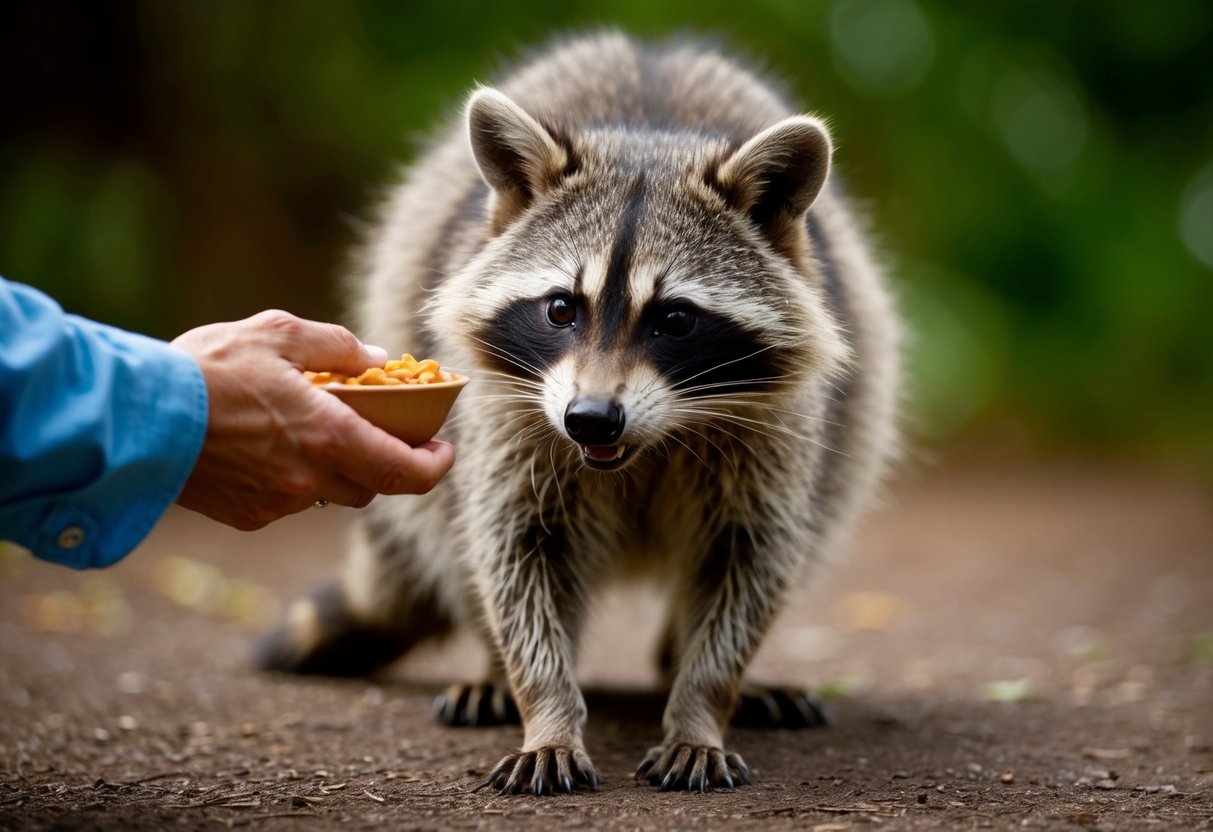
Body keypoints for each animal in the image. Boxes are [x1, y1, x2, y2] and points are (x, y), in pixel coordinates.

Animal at [259, 31, 900, 794]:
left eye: (675, 319)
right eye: (561, 308)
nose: (591, 419)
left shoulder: (774, 434)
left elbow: (749, 561)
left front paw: (702, 703)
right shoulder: (510, 416)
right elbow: (515, 554)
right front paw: (547, 710)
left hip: (849, 416)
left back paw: (687, 668)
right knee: (459, 535)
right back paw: (493, 672)